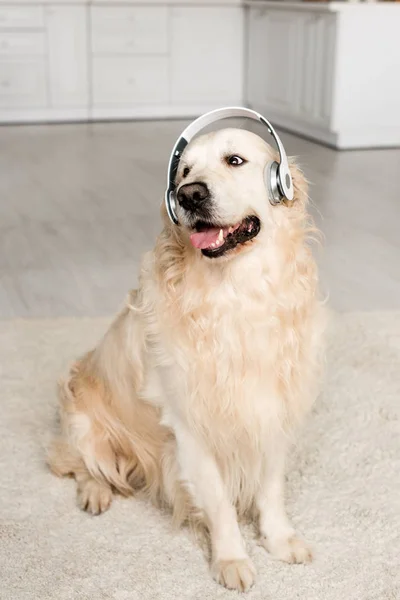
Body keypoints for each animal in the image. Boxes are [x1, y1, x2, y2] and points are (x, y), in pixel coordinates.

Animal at [49, 125, 324, 592]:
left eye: (235, 160)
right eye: (184, 171)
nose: (189, 194)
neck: (236, 293)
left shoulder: (271, 409)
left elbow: (270, 489)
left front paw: (279, 539)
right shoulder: (191, 427)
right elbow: (220, 504)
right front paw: (231, 559)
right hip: (81, 416)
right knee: (82, 462)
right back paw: (96, 491)